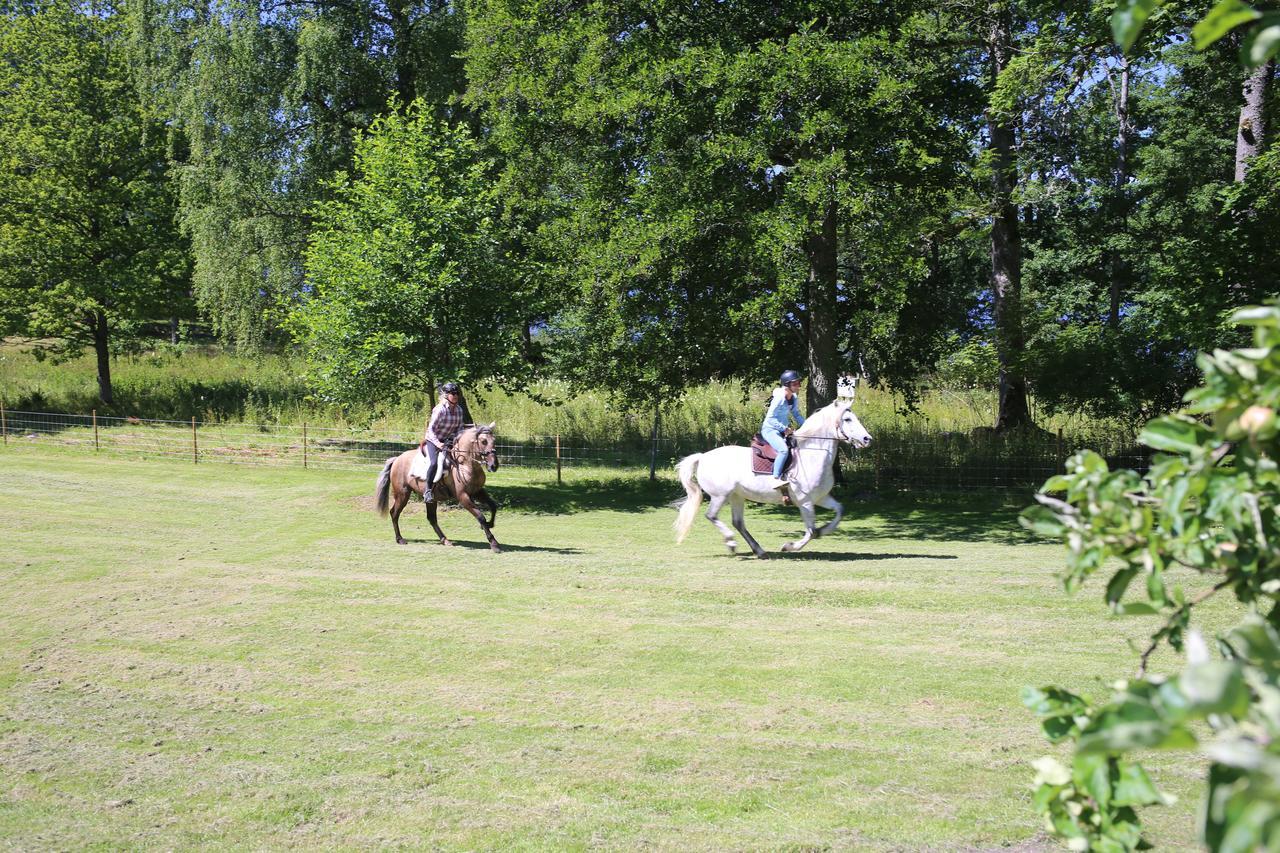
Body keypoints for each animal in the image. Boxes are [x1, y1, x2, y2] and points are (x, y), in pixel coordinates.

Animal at [373, 420, 499, 550]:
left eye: (494, 440)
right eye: (484, 441)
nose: (494, 465)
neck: (464, 464)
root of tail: (397, 459)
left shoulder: (477, 491)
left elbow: (493, 506)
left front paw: (490, 524)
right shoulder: (463, 496)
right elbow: (480, 516)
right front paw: (494, 543)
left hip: (431, 500)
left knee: (431, 518)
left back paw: (445, 540)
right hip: (402, 494)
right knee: (394, 513)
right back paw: (400, 539)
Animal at [670, 399, 870, 558]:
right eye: (847, 419)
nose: (867, 439)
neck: (812, 455)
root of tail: (703, 457)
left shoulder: (820, 498)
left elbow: (839, 511)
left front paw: (825, 530)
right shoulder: (805, 502)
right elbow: (811, 532)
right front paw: (789, 546)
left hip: (736, 496)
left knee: (738, 522)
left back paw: (759, 551)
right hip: (720, 496)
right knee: (711, 516)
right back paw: (731, 543)